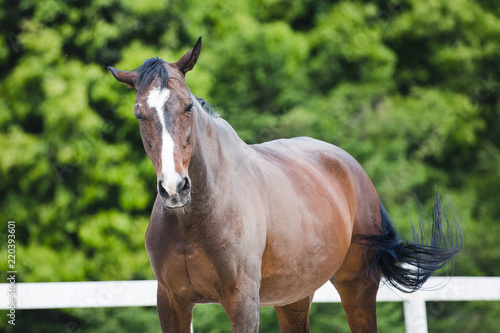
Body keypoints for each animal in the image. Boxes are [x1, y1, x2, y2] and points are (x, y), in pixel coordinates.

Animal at [108, 37, 460, 332]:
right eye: (140, 114)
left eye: (188, 106)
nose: (174, 188)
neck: (195, 219)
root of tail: (353, 169)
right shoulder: (172, 303)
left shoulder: (242, 302)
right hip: (294, 298)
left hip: (358, 286)